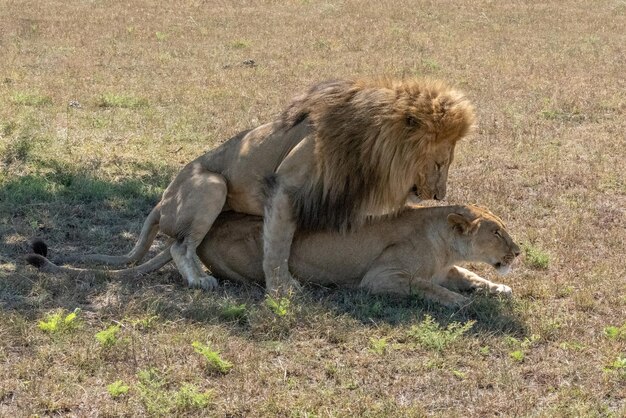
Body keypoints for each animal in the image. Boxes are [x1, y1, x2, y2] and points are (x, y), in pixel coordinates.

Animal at [46, 79, 472, 294]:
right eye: (440, 162)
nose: (439, 195)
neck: (370, 148)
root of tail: (162, 200)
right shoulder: (285, 186)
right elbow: (278, 245)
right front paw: (283, 289)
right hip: (211, 184)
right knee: (180, 245)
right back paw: (200, 280)